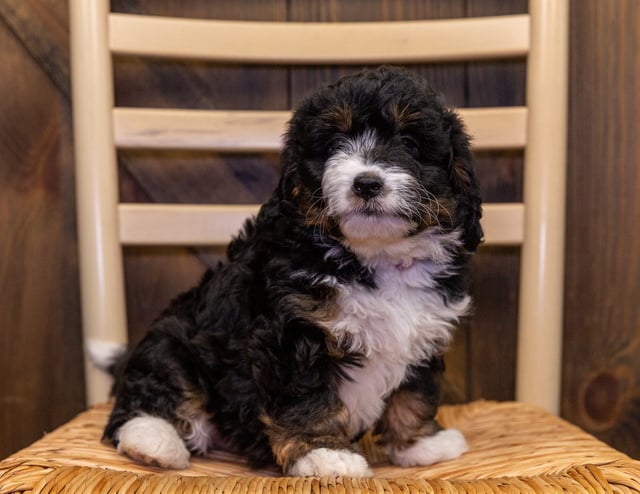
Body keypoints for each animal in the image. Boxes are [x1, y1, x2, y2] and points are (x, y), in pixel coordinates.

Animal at [102, 65, 482, 474]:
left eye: (410, 144)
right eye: (333, 145)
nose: (366, 183)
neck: (374, 257)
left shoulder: (424, 333)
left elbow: (414, 391)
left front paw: (420, 443)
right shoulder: (292, 334)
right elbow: (306, 398)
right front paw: (324, 454)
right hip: (173, 344)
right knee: (151, 397)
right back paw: (154, 442)